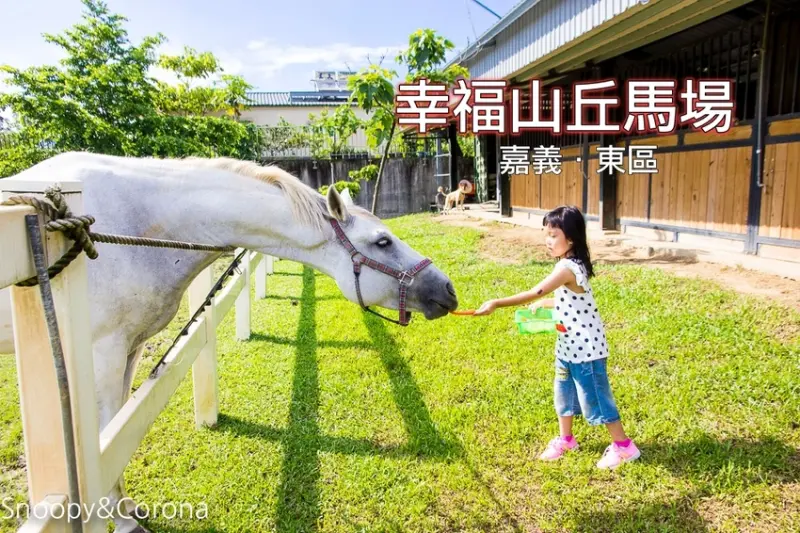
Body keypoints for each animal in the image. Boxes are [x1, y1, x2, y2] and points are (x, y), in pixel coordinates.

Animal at [0, 151, 459, 533]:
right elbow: (105, 442)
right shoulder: (102, 354)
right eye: (382, 241)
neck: (140, 225)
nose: (449, 290)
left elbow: (116, 439)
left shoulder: (129, 349)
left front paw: (126, 510)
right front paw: (123, 520)